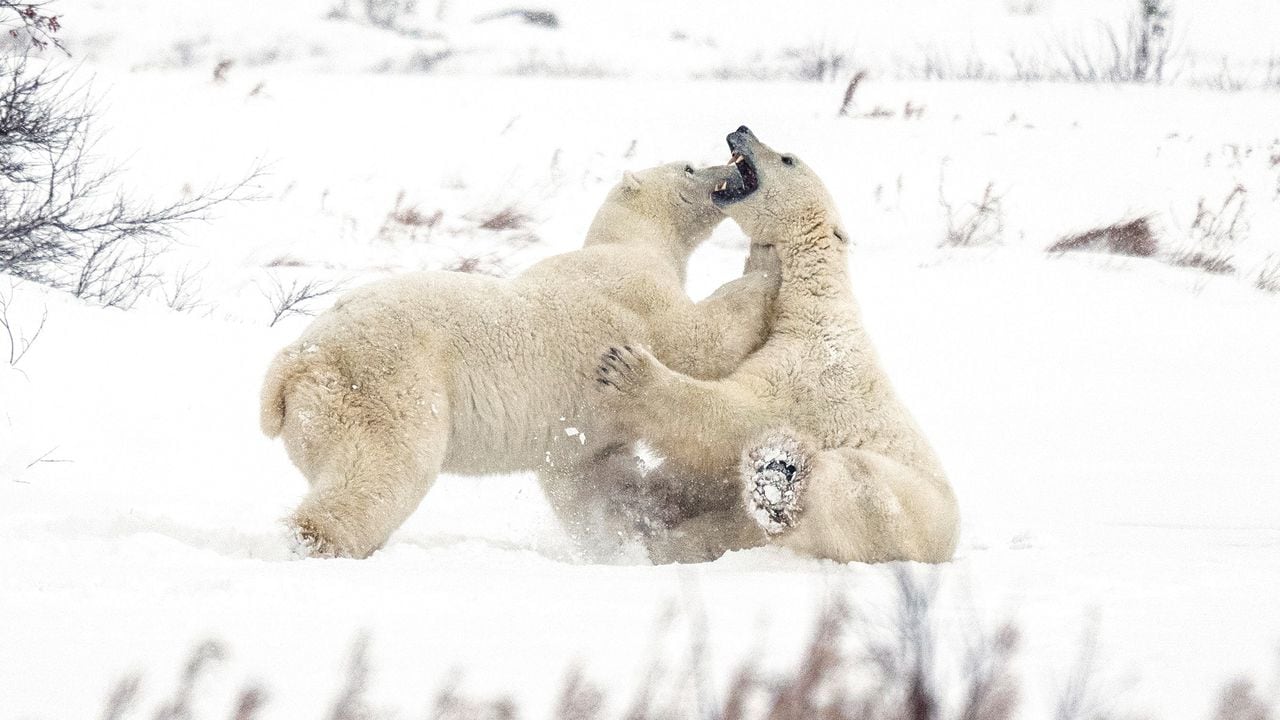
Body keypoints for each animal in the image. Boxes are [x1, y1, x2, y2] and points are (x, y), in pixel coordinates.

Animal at [262, 161, 778, 556]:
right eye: (689, 167)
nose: (729, 165)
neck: (630, 242)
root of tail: (291, 364)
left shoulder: (584, 435)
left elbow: (596, 478)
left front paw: (630, 532)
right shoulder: (634, 292)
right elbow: (695, 339)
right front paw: (765, 274)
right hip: (380, 385)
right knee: (382, 467)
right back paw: (317, 541)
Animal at [593, 128, 957, 566]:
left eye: (787, 159)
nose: (742, 129)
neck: (809, 302)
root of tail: (949, 547)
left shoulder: (809, 370)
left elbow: (737, 414)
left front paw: (626, 370)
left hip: (905, 508)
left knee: (851, 485)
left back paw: (777, 483)